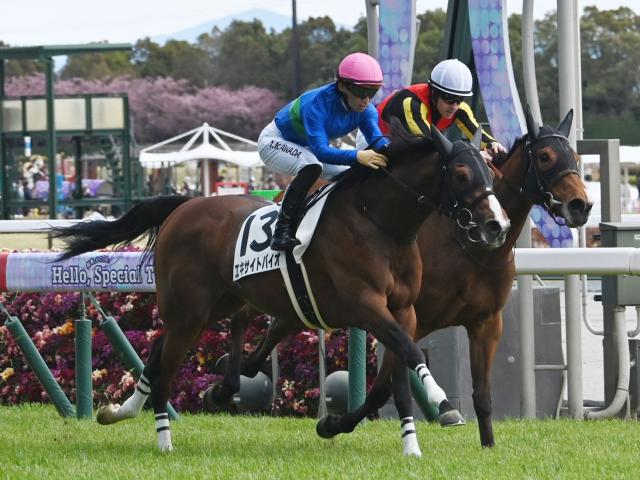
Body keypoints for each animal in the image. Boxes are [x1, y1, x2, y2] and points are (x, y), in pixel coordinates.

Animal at [51, 121, 510, 455]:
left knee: (161, 349)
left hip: (215, 303)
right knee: (166, 366)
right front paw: (443, 403)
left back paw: (126, 409)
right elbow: (411, 353)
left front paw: (409, 444)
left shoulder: (404, 311)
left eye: (492, 172)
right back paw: (164, 440)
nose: (497, 225)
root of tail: (186, 204)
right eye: (461, 173)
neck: (380, 224)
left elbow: (395, 376)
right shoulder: (365, 306)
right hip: (190, 309)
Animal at [307, 107, 592, 448]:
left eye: (575, 156)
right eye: (546, 156)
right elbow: (383, 388)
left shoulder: (486, 322)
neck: (469, 243)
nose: (581, 205)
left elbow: (481, 394)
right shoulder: (414, 320)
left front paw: (487, 444)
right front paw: (331, 423)